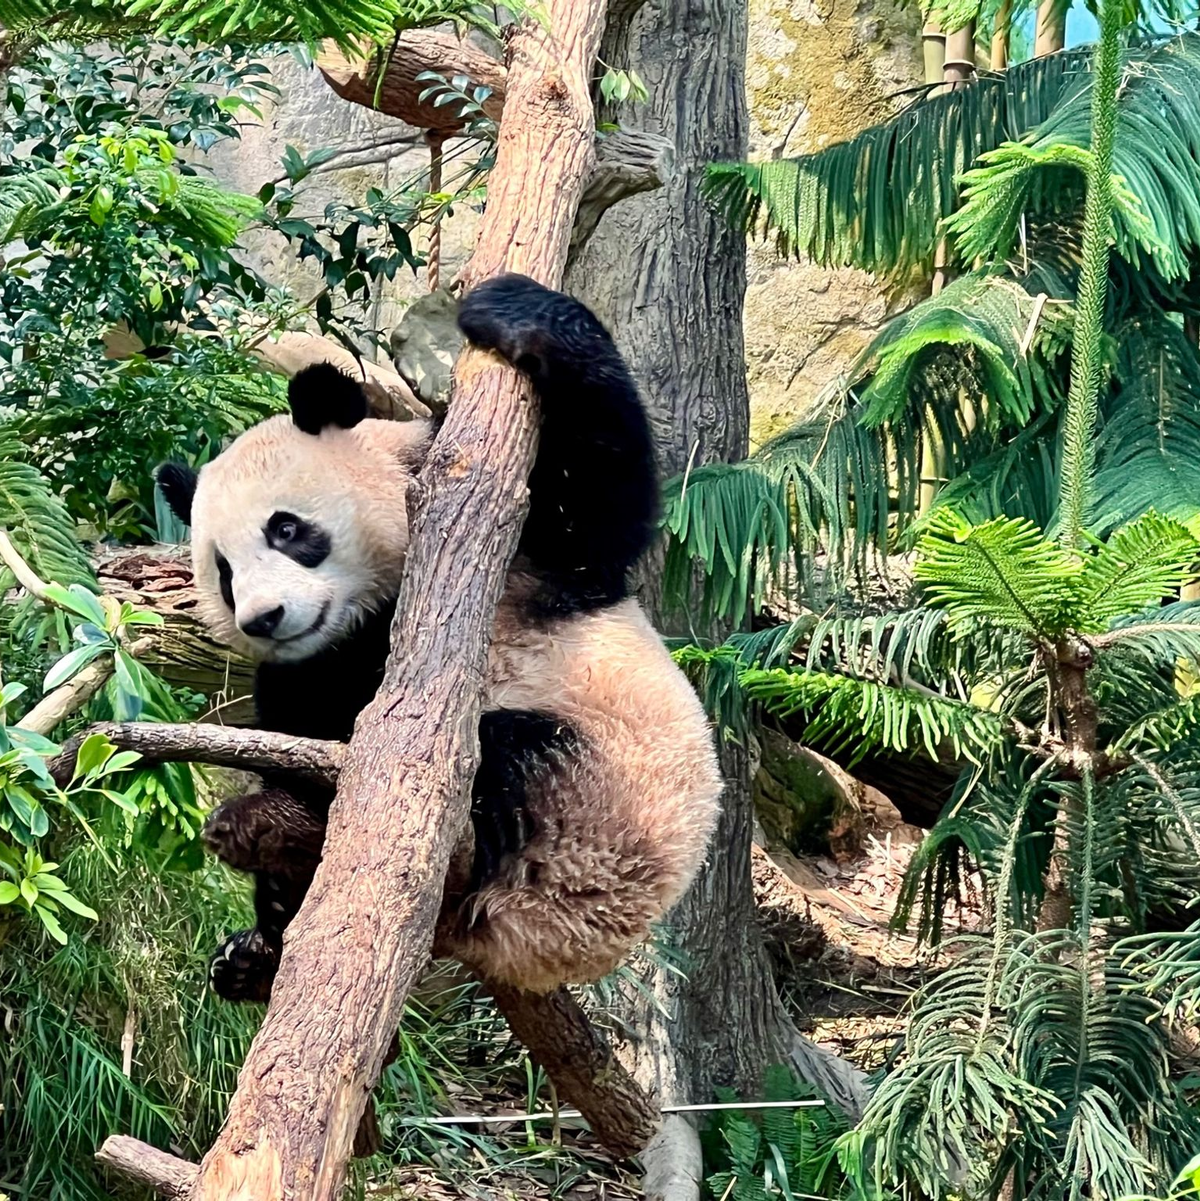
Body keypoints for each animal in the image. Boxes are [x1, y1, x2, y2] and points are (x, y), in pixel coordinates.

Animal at [157, 273, 723, 1000]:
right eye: (224, 572)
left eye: (285, 529)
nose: (265, 619)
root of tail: (533, 949)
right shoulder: (332, 654)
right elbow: (297, 693)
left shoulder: (526, 551)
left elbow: (601, 508)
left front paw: (511, 309)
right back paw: (259, 937)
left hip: (602, 810)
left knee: (506, 761)